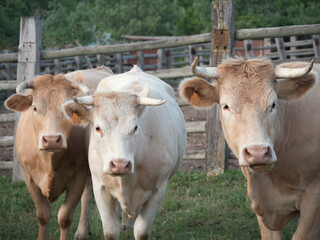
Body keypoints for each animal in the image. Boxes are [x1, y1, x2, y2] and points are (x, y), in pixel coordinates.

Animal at [4, 66, 113, 240]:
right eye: (35, 108)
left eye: (67, 110)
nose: (52, 139)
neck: (49, 161)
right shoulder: (30, 180)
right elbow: (43, 215)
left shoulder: (78, 178)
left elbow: (64, 217)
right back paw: (83, 230)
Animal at [62, 65, 188, 240]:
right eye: (98, 128)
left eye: (135, 127)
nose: (120, 164)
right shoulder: (100, 187)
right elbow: (110, 231)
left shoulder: (159, 189)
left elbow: (142, 231)